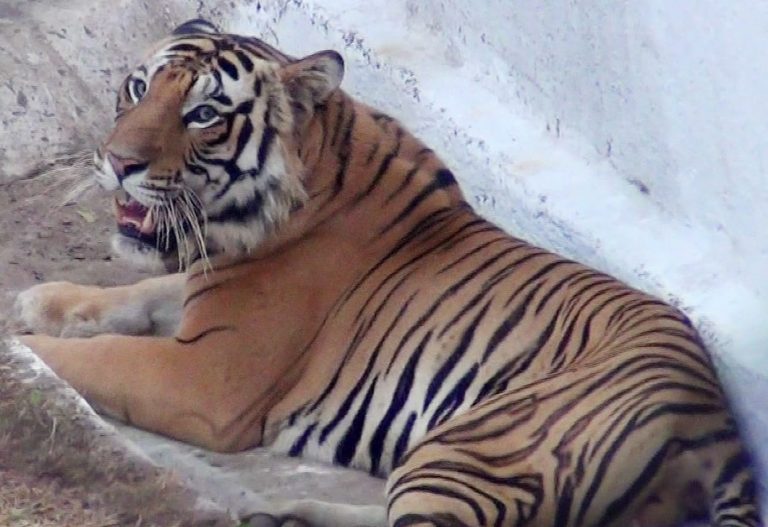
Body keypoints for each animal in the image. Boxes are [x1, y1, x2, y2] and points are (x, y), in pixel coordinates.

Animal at [13, 18, 762, 527]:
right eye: (138, 88)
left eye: (203, 114)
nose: (117, 161)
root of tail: (714, 423)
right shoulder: (203, 292)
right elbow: (139, 291)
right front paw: (40, 301)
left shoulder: (209, 376)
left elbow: (107, 356)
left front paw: (23, 349)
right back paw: (289, 513)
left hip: (470, 449)